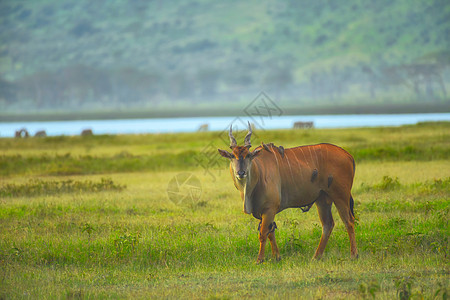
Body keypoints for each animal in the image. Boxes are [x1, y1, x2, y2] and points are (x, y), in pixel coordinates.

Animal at [218, 123, 358, 262]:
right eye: (232, 156)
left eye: (248, 155)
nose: (241, 173)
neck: (259, 171)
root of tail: (348, 155)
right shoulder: (265, 212)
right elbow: (270, 232)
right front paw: (277, 257)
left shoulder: (269, 209)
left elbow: (263, 234)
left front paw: (260, 260)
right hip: (322, 199)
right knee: (328, 224)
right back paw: (316, 257)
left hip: (340, 195)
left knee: (349, 221)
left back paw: (353, 255)